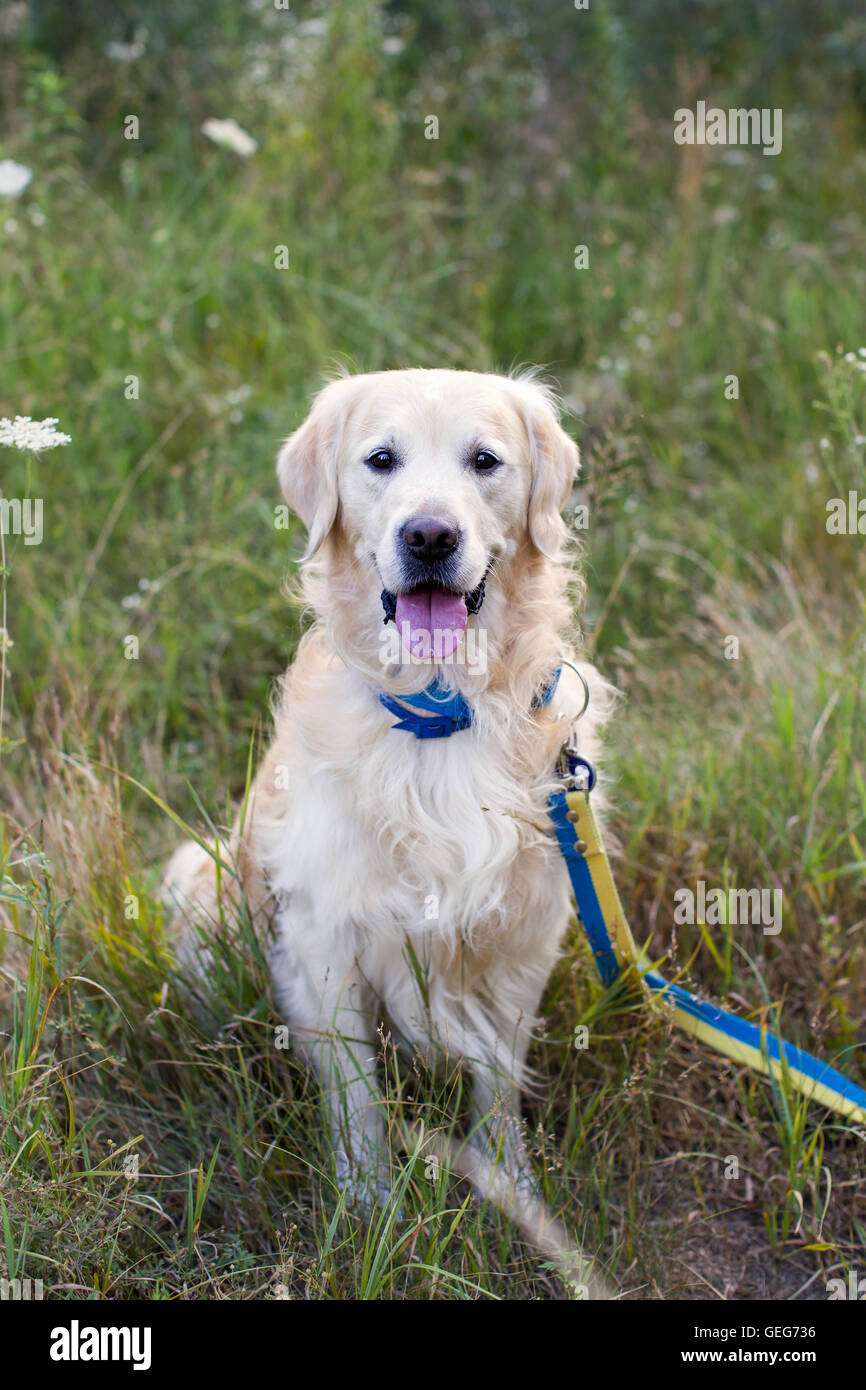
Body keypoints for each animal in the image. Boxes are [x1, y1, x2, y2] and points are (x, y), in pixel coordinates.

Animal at [166, 366, 614, 1206]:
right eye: (381, 460)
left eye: (484, 460)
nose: (430, 536)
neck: (440, 713)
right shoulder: (325, 935)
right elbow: (355, 1090)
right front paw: (366, 1199)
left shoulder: (524, 934)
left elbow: (498, 1077)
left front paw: (508, 1183)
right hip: (193, 875)